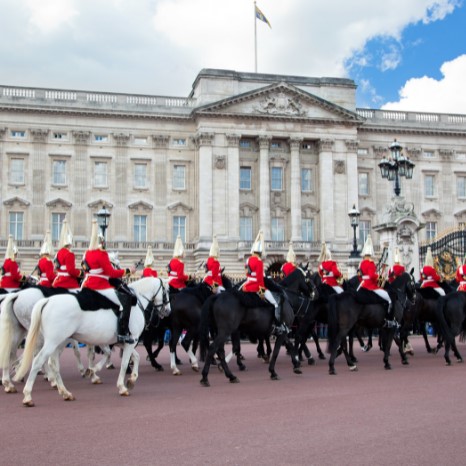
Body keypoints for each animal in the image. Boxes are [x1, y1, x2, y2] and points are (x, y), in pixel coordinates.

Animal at [13, 278, 171, 406]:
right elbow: (124, 363)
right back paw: (28, 396)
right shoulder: (131, 341)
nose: (168, 311)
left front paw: (130, 380)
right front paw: (121, 386)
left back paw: (65, 392)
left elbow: (134, 357)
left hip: (59, 342)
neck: (135, 303)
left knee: (53, 363)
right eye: (167, 291)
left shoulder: (125, 342)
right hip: (53, 342)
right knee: (38, 360)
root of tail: (48, 300)